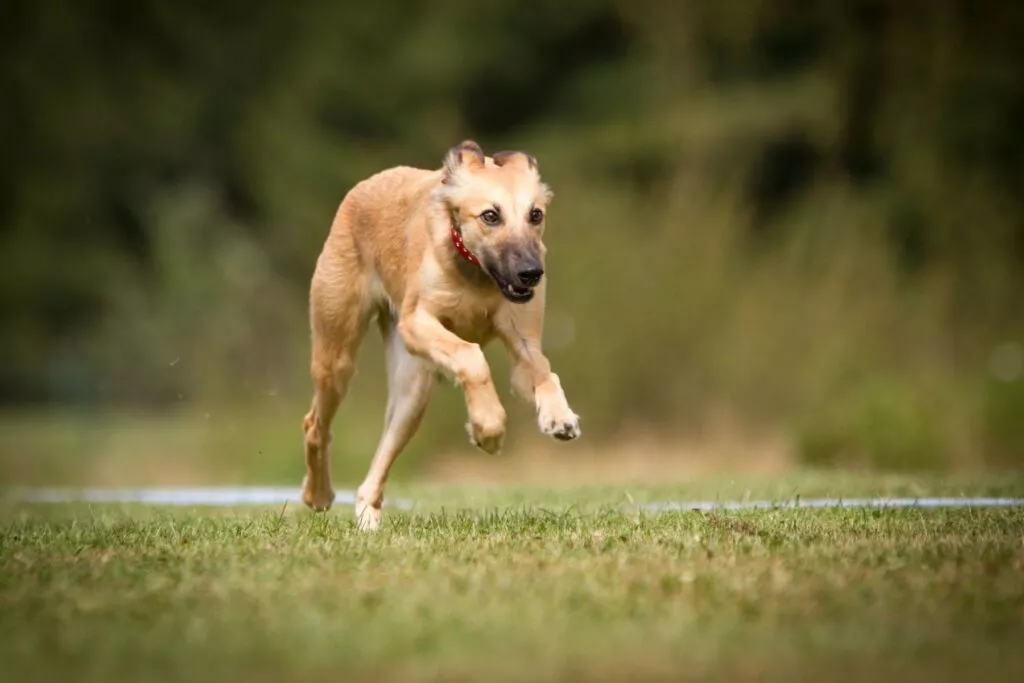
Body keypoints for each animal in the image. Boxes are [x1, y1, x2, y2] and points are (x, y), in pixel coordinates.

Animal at [299, 141, 581, 532]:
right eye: (490, 215)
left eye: (535, 214)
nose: (531, 273)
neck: (476, 271)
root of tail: (364, 186)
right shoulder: (416, 322)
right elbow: (471, 356)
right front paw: (488, 428)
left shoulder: (523, 346)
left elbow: (544, 374)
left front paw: (558, 416)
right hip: (337, 356)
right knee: (315, 424)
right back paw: (319, 495)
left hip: (412, 392)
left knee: (374, 472)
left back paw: (368, 521)